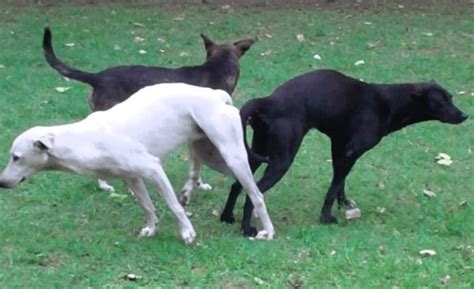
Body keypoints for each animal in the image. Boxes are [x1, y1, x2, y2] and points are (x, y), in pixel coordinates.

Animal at [0, 82, 274, 243]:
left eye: (16, 157)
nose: (1, 182)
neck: (83, 140)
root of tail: (216, 94)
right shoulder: (131, 177)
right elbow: (147, 206)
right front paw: (151, 228)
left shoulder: (153, 169)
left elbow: (174, 206)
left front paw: (187, 232)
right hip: (212, 156)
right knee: (231, 183)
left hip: (232, 156)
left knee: (257, 194)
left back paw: (268, 231)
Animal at [220, 68, 468, 235]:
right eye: (441, 101)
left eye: (451, 97)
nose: (465, 115)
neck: (388, 102)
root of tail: (268, 101)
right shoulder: (352, 152)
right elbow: (333, 187)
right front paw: (327, 216)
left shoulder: (340, 149)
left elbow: (339, 183)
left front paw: (343, 204)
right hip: (281, 159)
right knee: (254, 193)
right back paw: (246, 228)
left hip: (256, 152)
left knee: (237, 185)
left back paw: (227, 216)